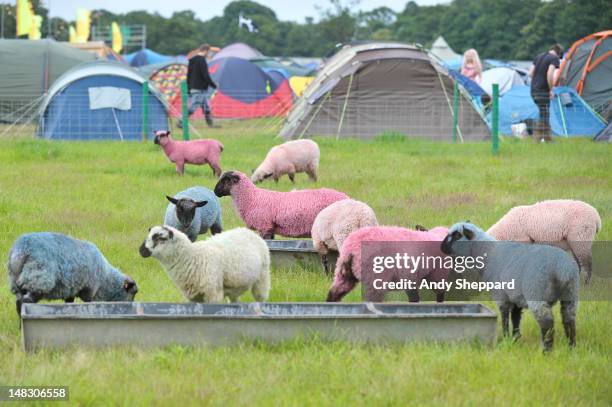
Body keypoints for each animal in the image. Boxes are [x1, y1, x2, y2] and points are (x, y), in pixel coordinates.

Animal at [7, 233, 139, 316]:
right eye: (133, 293)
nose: (130, 307)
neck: (106, 279)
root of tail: (20, 250)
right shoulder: (88, 290)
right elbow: (88, 304)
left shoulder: (71, 289)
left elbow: (69, 303)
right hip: (38, 279)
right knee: (24, 301)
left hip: (17, 281)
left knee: (19, 302)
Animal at [142, 226, 272, 302]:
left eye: (160, 238)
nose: (141, 250)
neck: (193, 258)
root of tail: (248, 231)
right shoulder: (193, 297)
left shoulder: (213, 294)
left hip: (262, 277)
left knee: (260, 298)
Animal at [215, 171, 350, 239]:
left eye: (225, 180)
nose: (215, 191)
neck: (252, 198)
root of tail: (346, 197)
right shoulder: (270, 227)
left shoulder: (264, 225)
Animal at [440, 223, 580, 354]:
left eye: (457, 235)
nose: (441, 247)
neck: (488, 255)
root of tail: (562, 269)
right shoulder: (515, 295)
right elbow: (516, 318)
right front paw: (515, 339)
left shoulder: (501, 295)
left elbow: (505, 317)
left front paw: (506, 338)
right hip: (571, 293)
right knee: (569, 319)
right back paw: (571, 348)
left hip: (536, 292)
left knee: (547, 322)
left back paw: (546, 352)